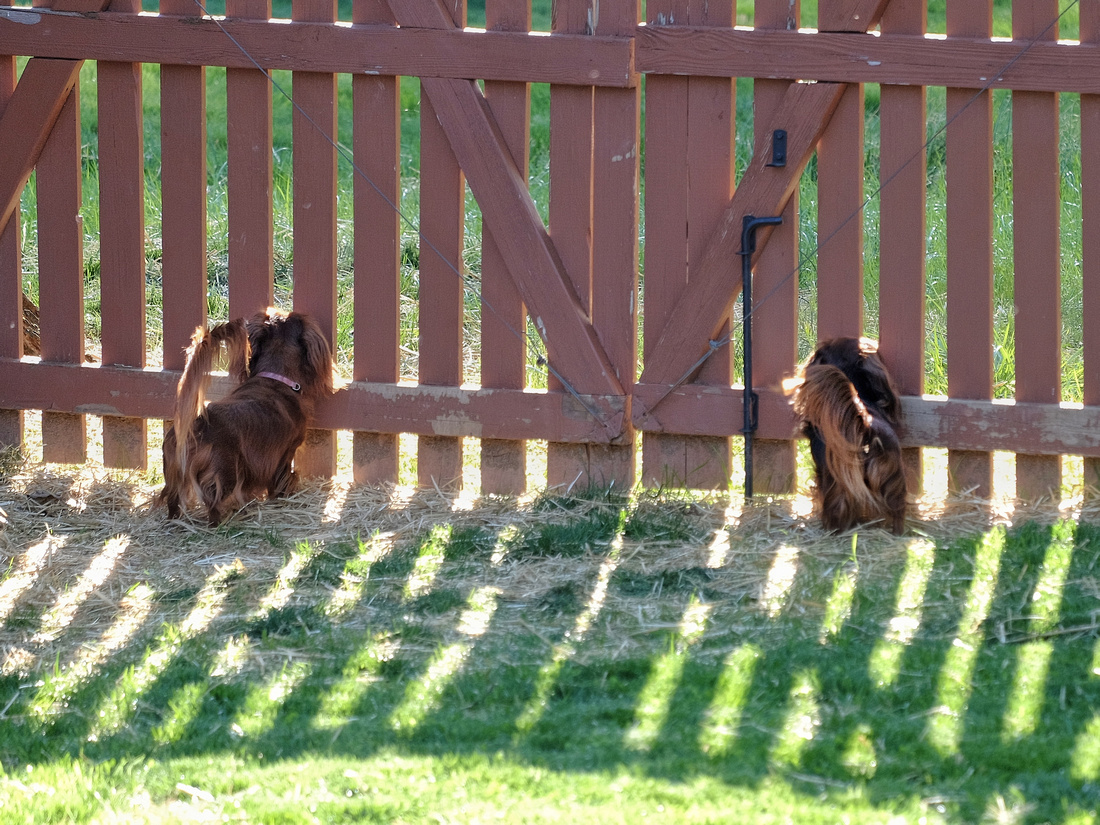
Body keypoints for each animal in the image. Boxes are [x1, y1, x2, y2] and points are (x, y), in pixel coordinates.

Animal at [157, 308, 332, 525]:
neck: (275, 378)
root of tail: (196, 424)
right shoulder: (285, 452)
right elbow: (282, 479)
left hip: (173, 472)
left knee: (173, 500)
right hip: (225, 472)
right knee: (214, 501)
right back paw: (221, 521)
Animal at [787, 336, 906, 536]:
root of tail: (865, 424)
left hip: (836, 479)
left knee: (837, 506)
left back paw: (833, 529)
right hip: (891, 475)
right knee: (896, 507)